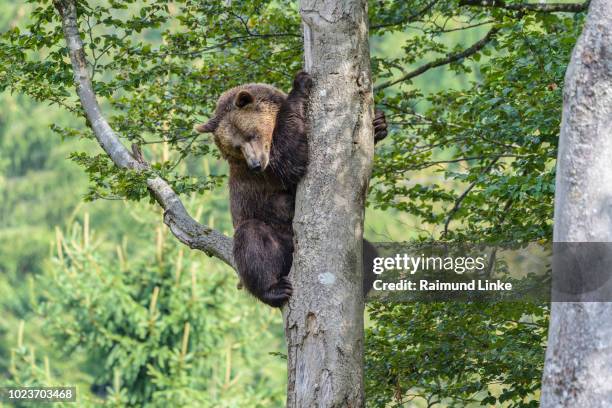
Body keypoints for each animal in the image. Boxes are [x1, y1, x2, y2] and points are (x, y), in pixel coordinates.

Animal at [196, 71, 388, 306]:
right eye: (236, 146)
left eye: (251, 135)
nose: (255, 164)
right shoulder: (269, 172)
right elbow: (289, 159)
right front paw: (300, 83)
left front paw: (379, 124)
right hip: (275, 233)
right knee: (252, 239)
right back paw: (274, 289)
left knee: (368, 253)